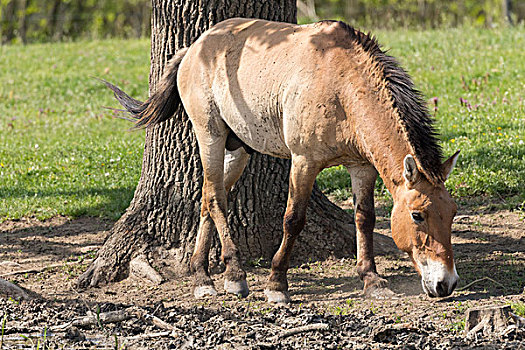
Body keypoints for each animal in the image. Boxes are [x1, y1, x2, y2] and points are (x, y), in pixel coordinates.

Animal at [105, 17, 458, 302]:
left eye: (453, 213)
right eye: (417, 216)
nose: (446, 284)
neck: (341, 84)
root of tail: (194, 48)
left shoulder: (361, 167)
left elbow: (365, 218)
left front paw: (372, 281)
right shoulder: (303, 162)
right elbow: (293, 219)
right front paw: (277, 285)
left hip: (238, 150)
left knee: (208, 197)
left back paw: (202, 277)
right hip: (210, 137)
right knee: (217, 200)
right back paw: (234, 276)